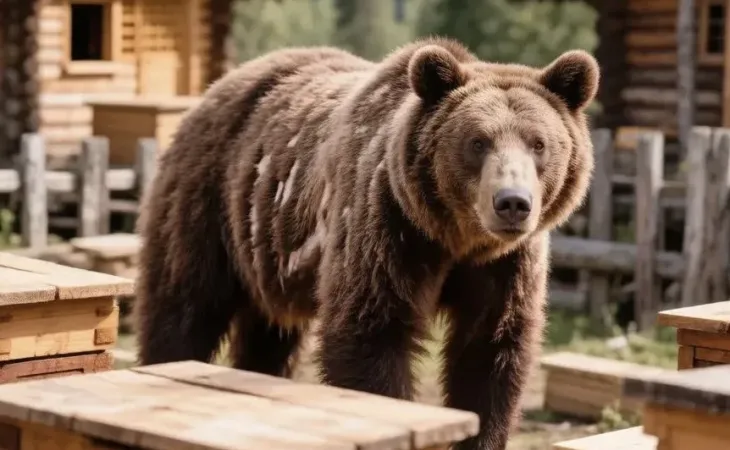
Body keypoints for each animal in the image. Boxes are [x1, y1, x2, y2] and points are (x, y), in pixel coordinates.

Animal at [134, 37, 599, 450]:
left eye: (539, 143)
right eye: (477, 141)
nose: (512, 203)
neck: (455, 238)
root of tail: (217, 87)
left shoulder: (505, 266)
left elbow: (489, 355)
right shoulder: (387, 230)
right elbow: (372, 335)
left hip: (268, 250)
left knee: (270, 333)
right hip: (209, 203)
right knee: (184, 306)